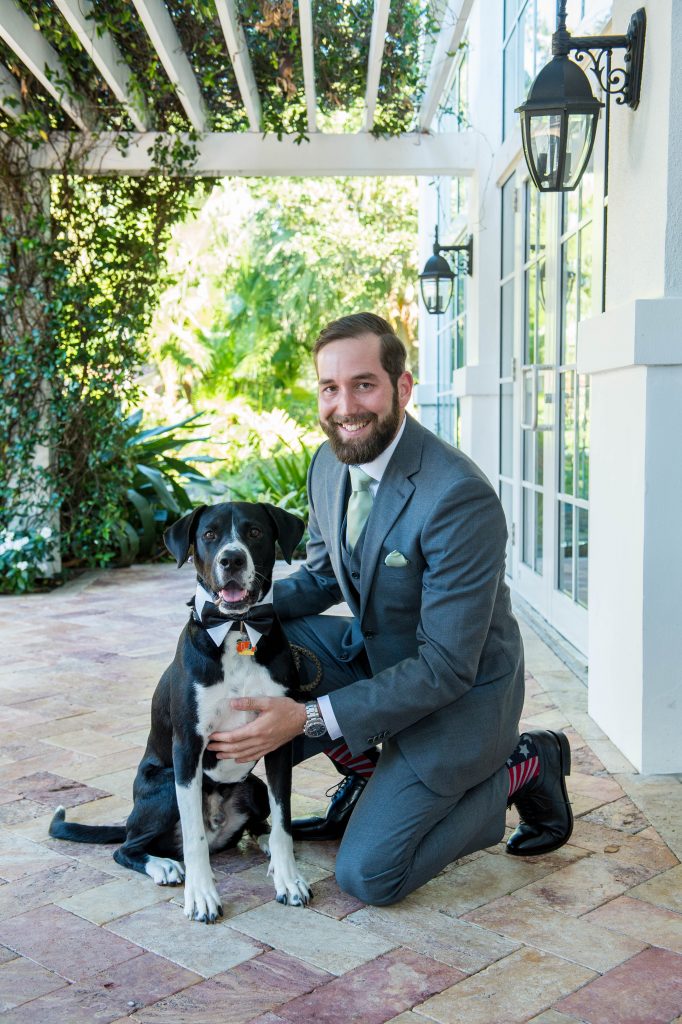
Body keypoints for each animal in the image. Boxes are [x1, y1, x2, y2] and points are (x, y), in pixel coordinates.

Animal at [49, 499, 309, 925]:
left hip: (251, 786)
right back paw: (163, 865)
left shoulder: (278, 739)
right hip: (165, 786)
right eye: (209, 534)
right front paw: (202, 896)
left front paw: (288, 880)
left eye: (254, 532)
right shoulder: (187, 748)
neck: (237, 629)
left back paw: (264, 844)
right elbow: (194, 838)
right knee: (127, 847)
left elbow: (284, 820)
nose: (232, 559)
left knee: (260, 823)